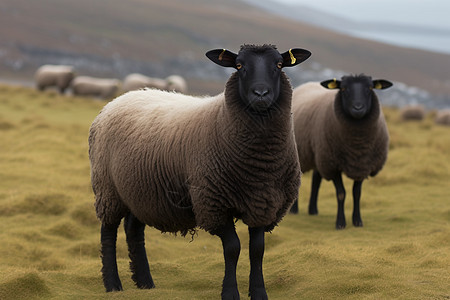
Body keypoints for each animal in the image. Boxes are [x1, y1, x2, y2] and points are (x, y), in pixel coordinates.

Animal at [89, 44, 312, 298]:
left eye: (279, 65)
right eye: (239, 66)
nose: (261, 94)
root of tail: (117, 100)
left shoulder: (263, 204)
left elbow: (257, 249)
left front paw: (258, 293)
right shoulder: (213, 203)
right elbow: (233, 248)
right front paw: (230, 293)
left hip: (141, 191)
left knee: (133, 229)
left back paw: (145, 282)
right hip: (108, 189)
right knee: (108, 232)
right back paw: (112, 284)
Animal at [290, 75, 392, 230]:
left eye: (369, 88)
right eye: (343, 88)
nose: (358, 108)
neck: (357, 145)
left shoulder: (362, 165)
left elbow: (357, 193)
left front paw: (357, 221)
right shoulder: (333, 166)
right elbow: (341, 194)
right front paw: (340, 223)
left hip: (320, 154)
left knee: (316, 180)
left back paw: (313, 210)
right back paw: (294, 210)